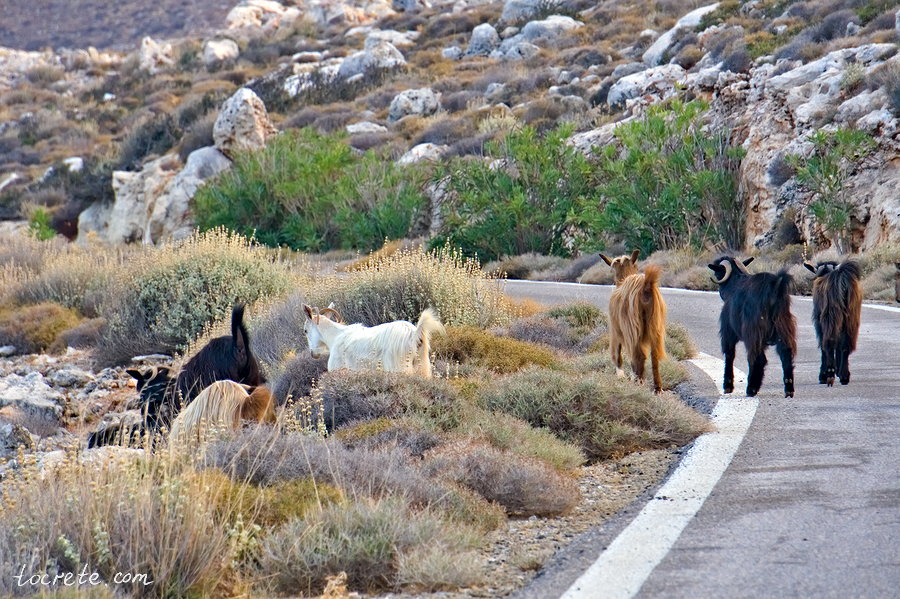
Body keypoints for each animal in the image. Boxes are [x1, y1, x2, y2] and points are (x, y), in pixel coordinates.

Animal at [303, 305, 445, 376]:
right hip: (422, 367)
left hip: (400, 368)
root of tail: (414, 334)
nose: (313, 354)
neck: (335, 336)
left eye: (305, 330)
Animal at [605, 261, 668, 392]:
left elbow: (617, 353)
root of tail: (646, 286)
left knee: (639, 355)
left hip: (632, 327)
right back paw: (657, 388)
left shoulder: (616, 329)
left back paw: (639, 382)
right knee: (654, 356)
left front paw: (622, 376)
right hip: (655, 324)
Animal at [708, 256, 797, 398]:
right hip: (784, 328)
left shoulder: (728, 332)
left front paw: (727, 386)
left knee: (758, 358)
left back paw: (751, 388)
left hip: (754, 332)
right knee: (786, 354)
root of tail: (775, 287)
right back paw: (788, 389)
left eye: (717, 273)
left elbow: (729, 355)